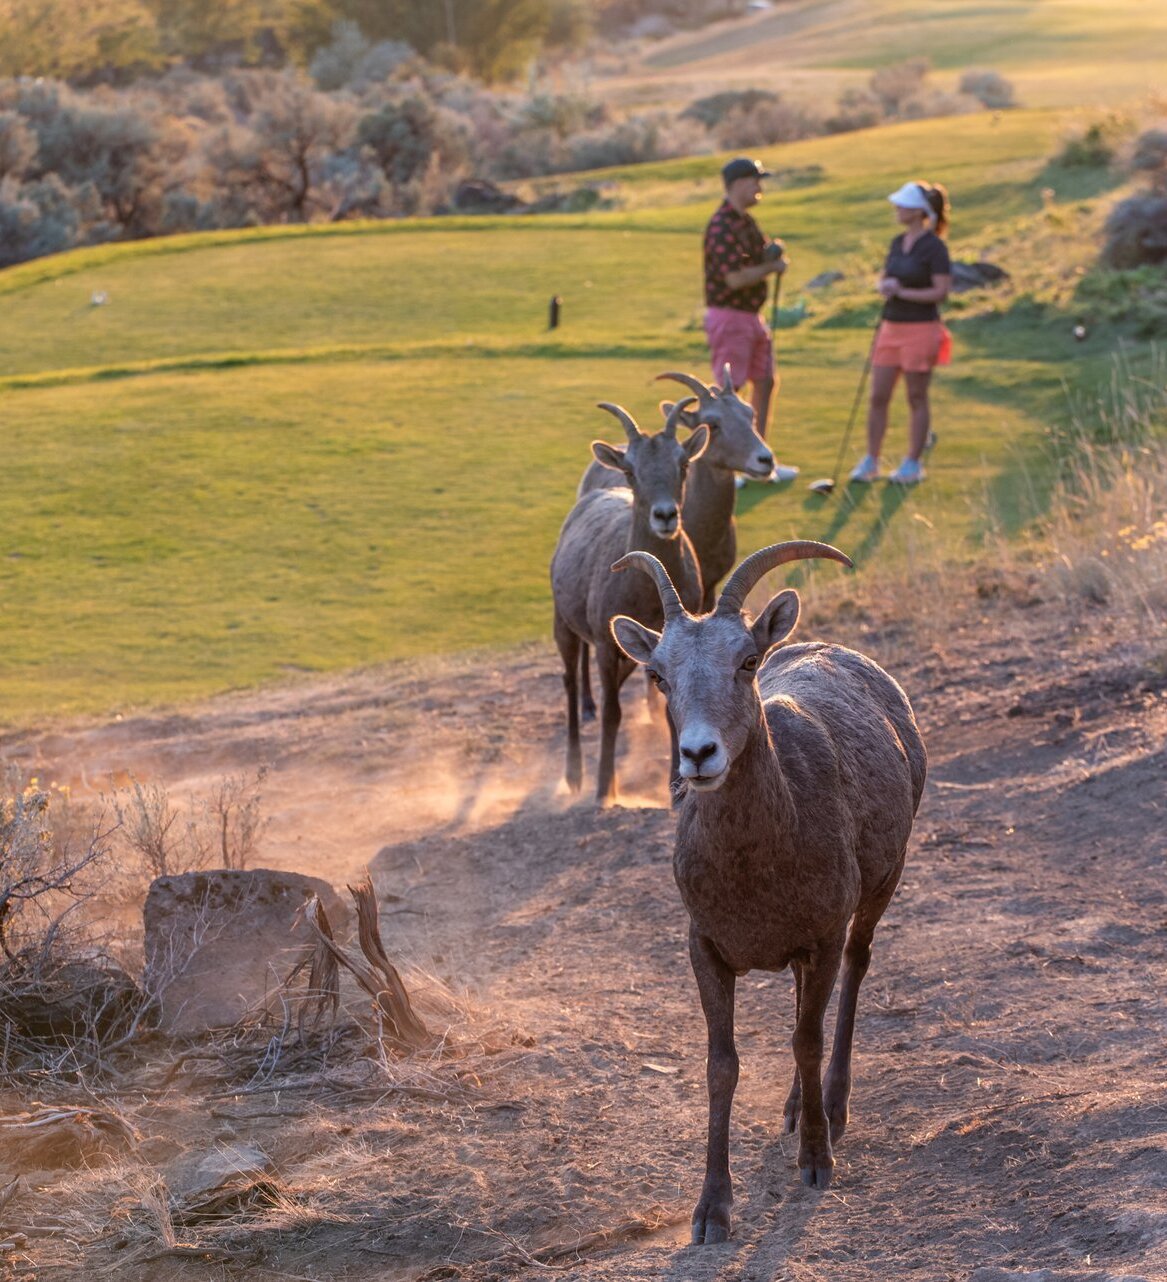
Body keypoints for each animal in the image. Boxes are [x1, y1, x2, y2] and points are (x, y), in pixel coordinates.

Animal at [554, 399, 707, 799]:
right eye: (630, 470)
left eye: (683, 464)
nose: (665, 516)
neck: (646, 594)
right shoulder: (607, 646)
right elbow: (613, 714)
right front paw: (605, 790)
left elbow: (673, 712)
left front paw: (674, 789)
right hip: (563, 624)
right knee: (570, 681)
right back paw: (574, 776)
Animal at [607, 541, 928, 1240]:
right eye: (660, 676)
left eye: (747, 662)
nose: (699, 755)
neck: (756, 868)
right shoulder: (706, 950)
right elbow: (721, 1066)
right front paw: (712, 1212)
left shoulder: (822, 937)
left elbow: (806, 1041)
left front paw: (816, 1161)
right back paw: (794, 1110)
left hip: (880, 891)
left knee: (854, 975)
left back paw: (831, 1109)